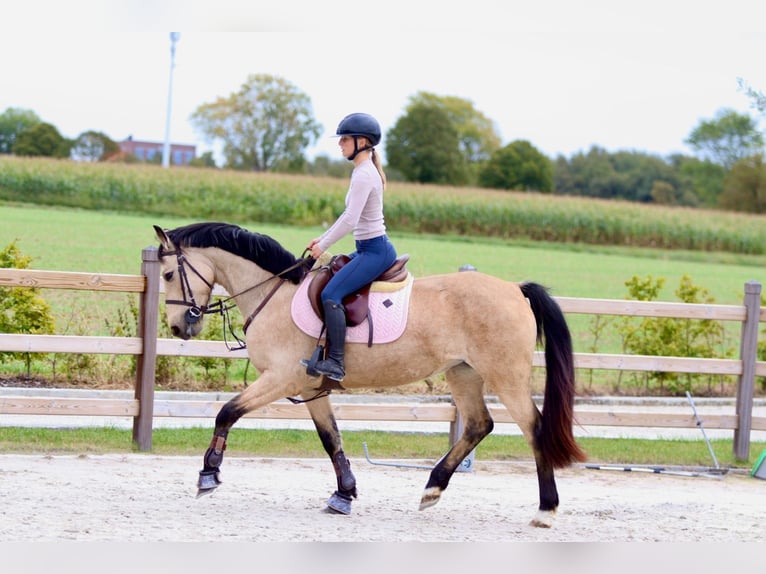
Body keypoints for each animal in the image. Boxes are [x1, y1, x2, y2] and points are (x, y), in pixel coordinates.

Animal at [154, 221, 586, 528]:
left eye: (168, 275)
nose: (179, 326)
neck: (274, 295)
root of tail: (515, 290)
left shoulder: (281, 379)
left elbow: (226, 412)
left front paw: (208, 475)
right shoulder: (310, 388)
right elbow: (331, 440)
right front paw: (344, 496)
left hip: (504, 376)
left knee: (533, 428)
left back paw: (546, 510)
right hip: (463, 374)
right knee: (479, 425)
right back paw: (432, 489)